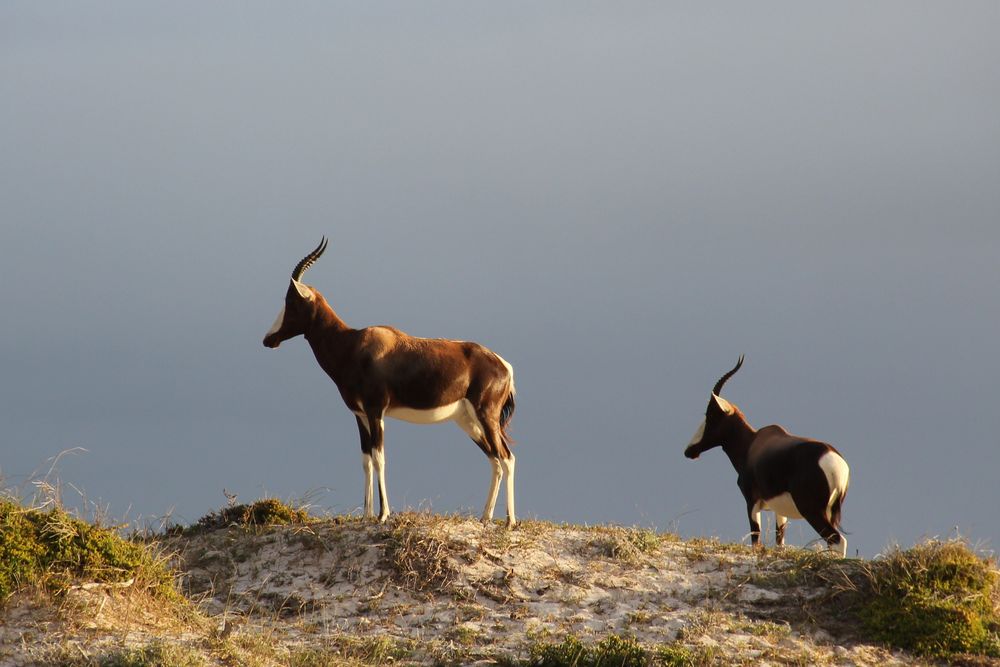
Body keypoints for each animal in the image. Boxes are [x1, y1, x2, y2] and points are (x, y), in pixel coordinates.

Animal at [262, 239, 520, 528]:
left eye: (290, 301)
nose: (268, 339)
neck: (353, 344)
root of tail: (504, 365)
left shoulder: (376, 412)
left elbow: (380, 458)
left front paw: (383, 514)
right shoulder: (360, 415)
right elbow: (366, 460)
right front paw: (366, 514)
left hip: (487, 416)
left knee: (507, 458)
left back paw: (510, 521)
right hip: (467, 421)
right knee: (495, 459)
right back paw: (485, 517)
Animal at [688, 358, 852, 556]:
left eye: (710, 414)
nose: (689, 450)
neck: (752, 444)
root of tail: (834, 461)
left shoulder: (751, 501)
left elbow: (755, 539)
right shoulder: (779, 511)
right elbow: (779, 542)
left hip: (812, 510)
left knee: (837, 540)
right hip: (830, 511)